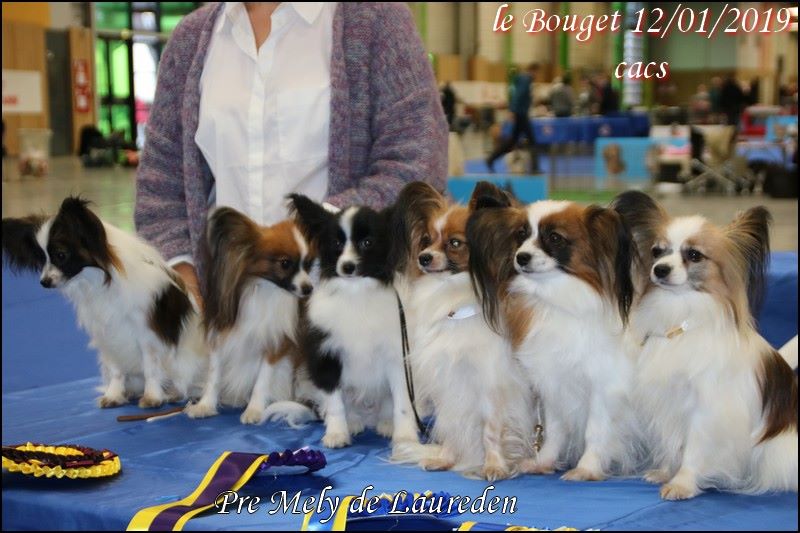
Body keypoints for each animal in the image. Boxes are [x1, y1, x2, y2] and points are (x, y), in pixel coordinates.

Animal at [1, 195, 206, 408]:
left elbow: (151, 369)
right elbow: (117, 370)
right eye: (42, 260)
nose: (44, 282)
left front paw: (152, 397)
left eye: (61, 255)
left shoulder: (147, 335)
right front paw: (114, 395)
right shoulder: (108, 334)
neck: (101, 282)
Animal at [184, 206, 316, 426]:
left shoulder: (275, 345)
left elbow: (261, 382)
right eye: (285, 263)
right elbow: (214, 376)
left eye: (308, 264)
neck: (260, 287)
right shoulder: (221, 337)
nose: (308, 289)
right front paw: (205, 405)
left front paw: (254, 410)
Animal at [390, 181, 536, 480]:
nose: (423, 258)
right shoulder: (447, 381)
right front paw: (445, 459)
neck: (456, 306)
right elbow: (449, 425)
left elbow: (490, 430)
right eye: (426, 240)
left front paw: (494, 465)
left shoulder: (490, 381)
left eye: (455, 243)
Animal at [472, 197, 640, 480]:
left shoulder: (603, 386)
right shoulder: (554, 382)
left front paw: (586, 468)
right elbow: (555, 429)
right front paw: (544, 461)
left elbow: (595, 431)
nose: (521, 257)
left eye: (554, 238)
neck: (556, 300)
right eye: (521, 235)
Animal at [612, 191, 792, 498]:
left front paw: (682, 483)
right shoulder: (669, 403)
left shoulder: (707, 409)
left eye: (694, 255)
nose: (660, 270)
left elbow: (694, 450)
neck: (682, 317)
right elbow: (673, 443)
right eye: (657, 252)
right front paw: (665, 472)